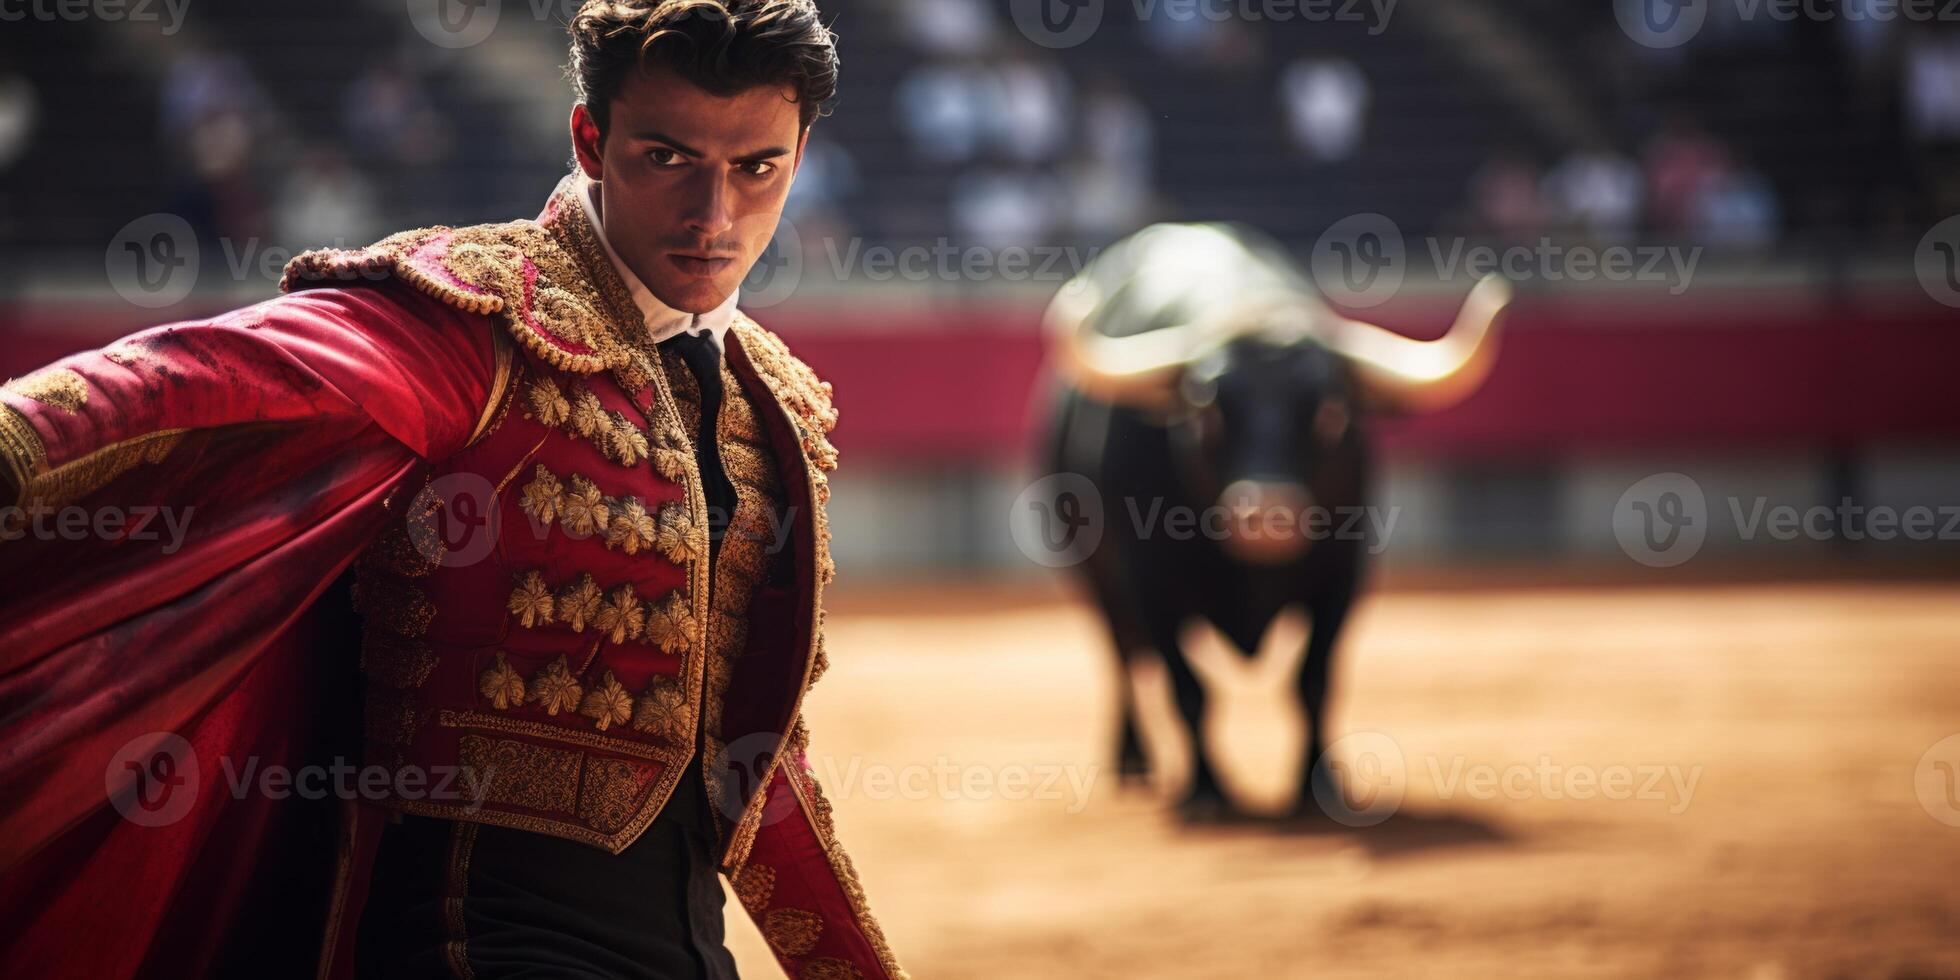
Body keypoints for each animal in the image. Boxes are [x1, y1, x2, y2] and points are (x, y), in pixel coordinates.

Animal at [1034, 222, 1505, 819]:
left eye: (1332, 410)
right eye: (1205, 408)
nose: (1268, 513)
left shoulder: (1341, 579)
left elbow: (1313, 682)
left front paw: (1319, 784)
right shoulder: (1149, 585)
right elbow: (1188, 688)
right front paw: (1207, 790)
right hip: (1091, 570)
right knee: (1122, 657)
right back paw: (1132, 759)